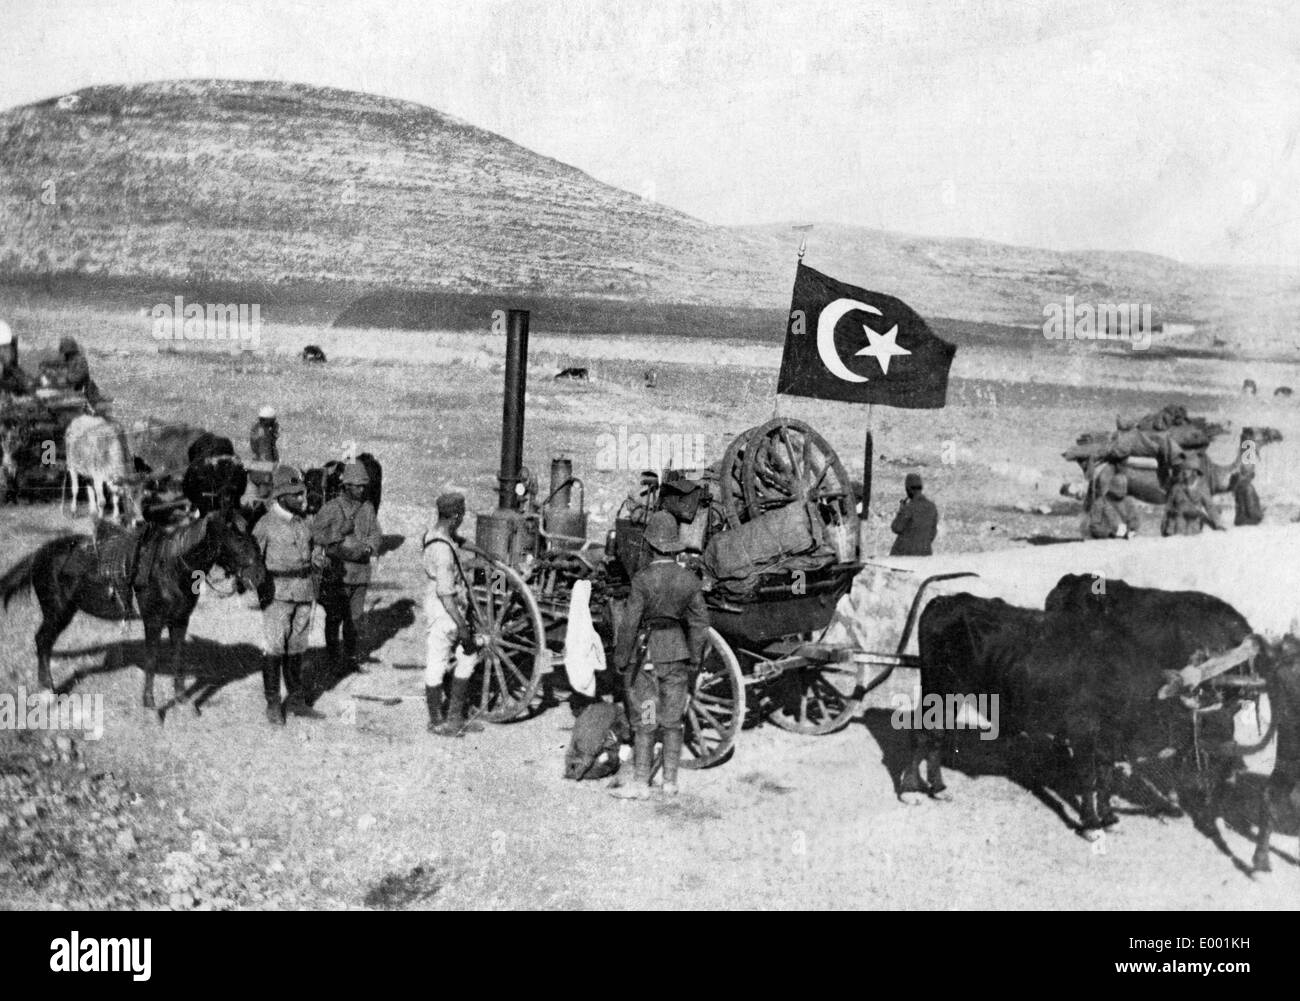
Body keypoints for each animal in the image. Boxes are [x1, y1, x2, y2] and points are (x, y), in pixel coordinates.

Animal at [0, 506, 266, 707]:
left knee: (44, 642)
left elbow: (178, 656)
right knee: (43, 641)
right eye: (238, 537)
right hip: (57, 611)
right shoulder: (153, 621)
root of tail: (40, 554)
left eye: (252, 534)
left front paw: (182, 700)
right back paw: (48, 691)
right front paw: (150, 704)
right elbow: (151, 659)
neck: (170, 568)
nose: (259, 576)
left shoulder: (180, 620)